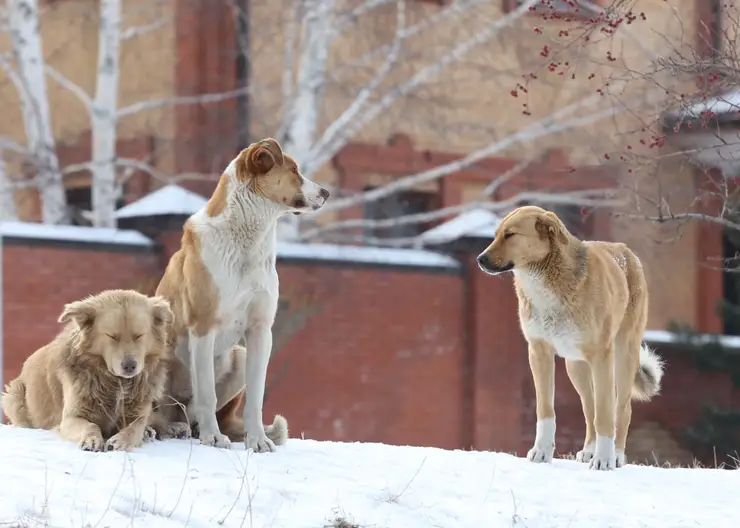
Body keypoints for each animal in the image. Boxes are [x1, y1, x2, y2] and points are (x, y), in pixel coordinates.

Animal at [3, 290, 173, 452]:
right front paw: (92, 439)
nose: (130, 366)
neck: (115, 382)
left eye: (139, 335)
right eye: (111, 336)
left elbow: (134, 429)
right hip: (13, 396)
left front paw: (121, 440)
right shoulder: (70, 418)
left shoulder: (137, 415)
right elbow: (91, 425)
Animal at [153, 136, 330, 450]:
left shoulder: (260, 330)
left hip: (238, 357)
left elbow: (255, 398)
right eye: (294, 170)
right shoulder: (203, 328)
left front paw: (257, 441)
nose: (327, 193)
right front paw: (213, 438)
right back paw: (169, 429)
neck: (245, 241)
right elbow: (207, 393)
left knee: (189, 414)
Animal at [476, 205, 668, 470]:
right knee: (589, 407)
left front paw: (604, 460)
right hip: (575, 367)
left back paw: (616, 455)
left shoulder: (601, 356)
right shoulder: (539, 352)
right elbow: (546, 410)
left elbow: (605, 414)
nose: (480, 259)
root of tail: (627, 251)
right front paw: (542, 452)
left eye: (510, 234)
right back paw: (588, 450)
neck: (545, 284)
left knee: (621, 408)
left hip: (623, 356)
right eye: (496, 235)